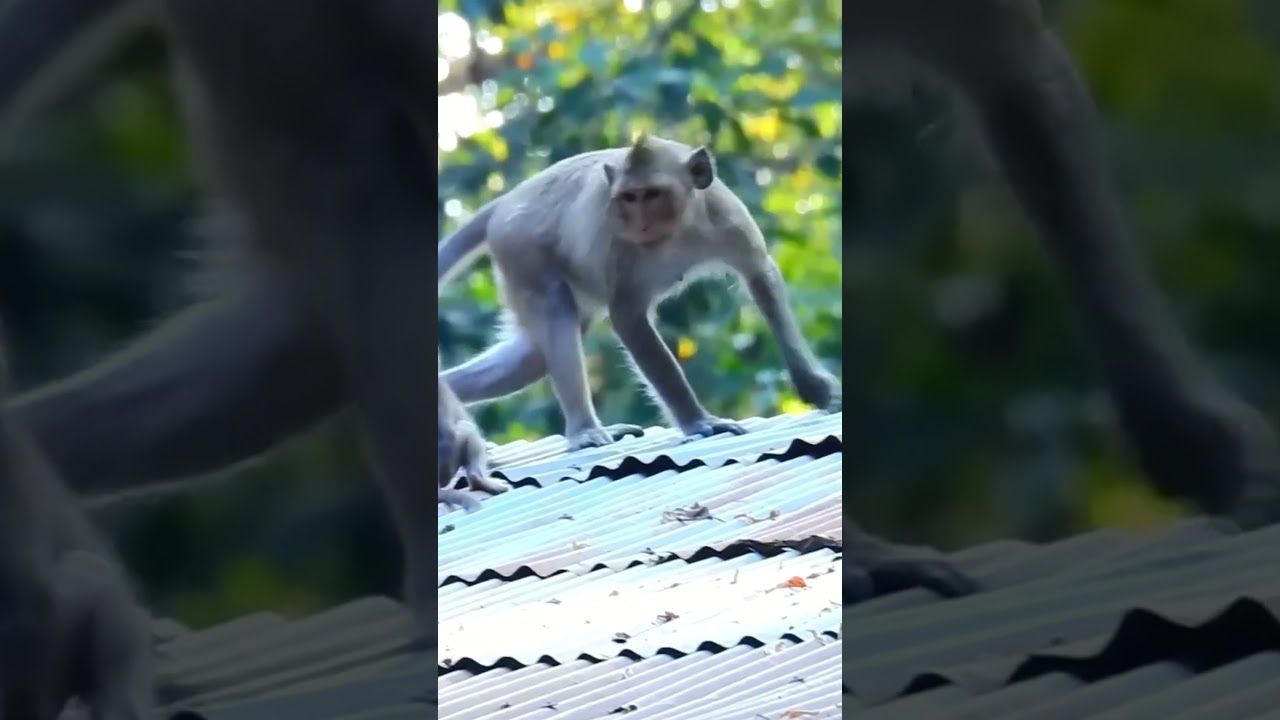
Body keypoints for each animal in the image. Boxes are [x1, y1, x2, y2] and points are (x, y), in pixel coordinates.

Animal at [435, 134, 843, 452]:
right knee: (556, 313)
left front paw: (818, 391)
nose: (640, 222)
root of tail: (504, 202)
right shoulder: (622, 248)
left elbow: (761, 278)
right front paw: (698, 422)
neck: (680, 229)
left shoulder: (729, 221)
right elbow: (629, 319)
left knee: (528, 359)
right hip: (522, 252)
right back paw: (585, 431)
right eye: (629, 198)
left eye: (652, 194)